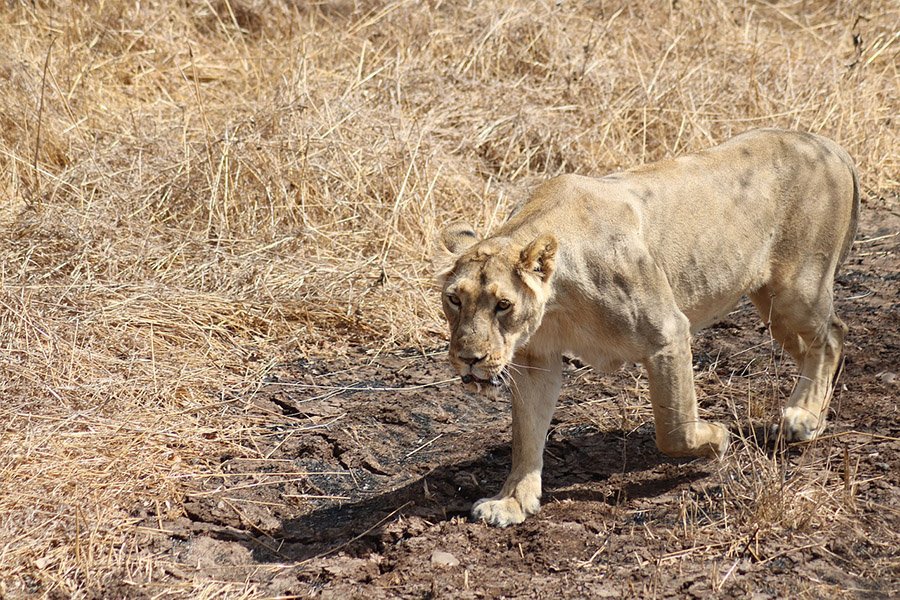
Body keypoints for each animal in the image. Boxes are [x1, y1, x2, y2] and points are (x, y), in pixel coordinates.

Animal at [436, 130, 856, 524]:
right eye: (454, 299)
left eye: (503, 305)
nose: (468, 359)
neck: (558, 302)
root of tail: (829, 144)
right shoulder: (535, 358)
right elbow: (526, 435)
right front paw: (512, 502)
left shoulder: (668, 333)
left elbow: (674, 428)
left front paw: (717, 438)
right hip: (771, 304)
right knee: (811, 347)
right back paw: (811, 407)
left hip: (796, 289)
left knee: (833, 335)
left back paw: (804, 417)